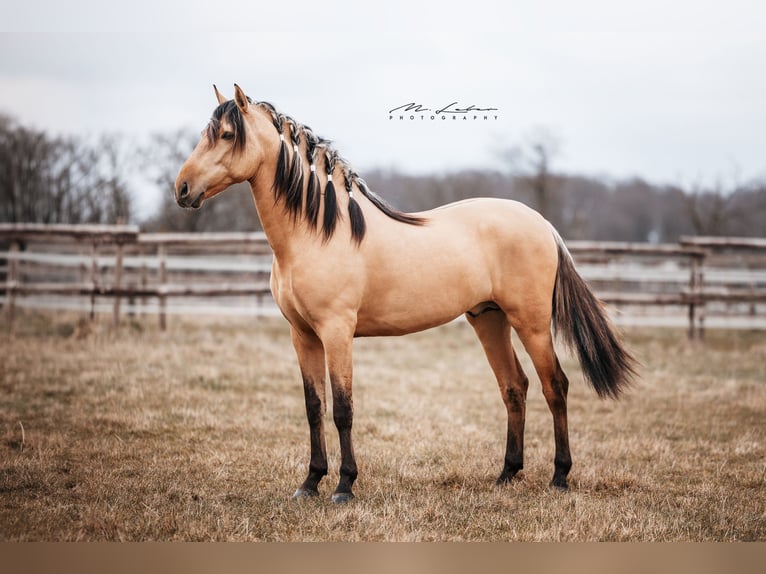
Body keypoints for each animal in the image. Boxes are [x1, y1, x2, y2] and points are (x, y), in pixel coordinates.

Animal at [177, 84, 640, 504]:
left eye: (227, 135)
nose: (181, 188)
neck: (317, 232)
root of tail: (542, 224)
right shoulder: (302, 334)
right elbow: (313, 408)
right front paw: (309, 484)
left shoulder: (336, 332)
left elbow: (342, 409)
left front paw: (344, 486)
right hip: (488, 318)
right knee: (514, 387)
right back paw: (507, 475)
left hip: (532, 323)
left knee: (554, 386)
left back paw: (559, 477)